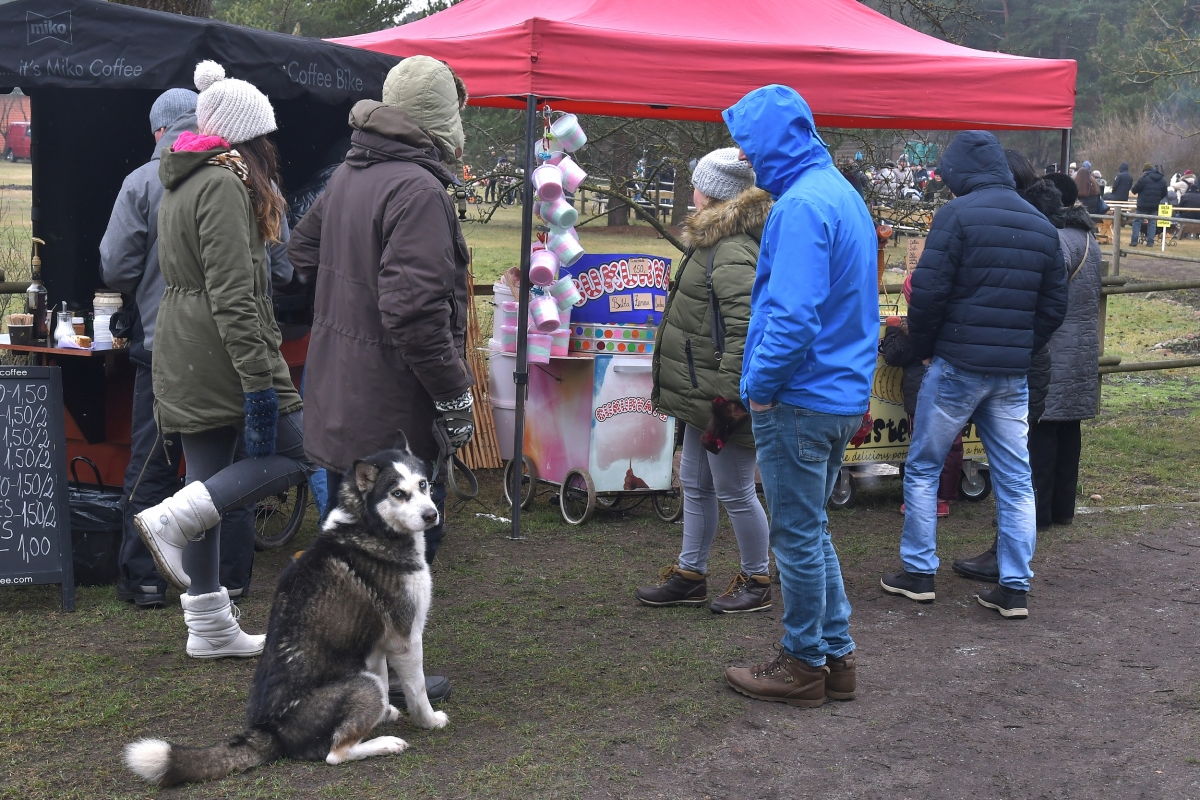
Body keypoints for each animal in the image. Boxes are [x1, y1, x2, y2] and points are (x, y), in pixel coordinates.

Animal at [125, 433, 448, 787]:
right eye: (398, 493)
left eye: (423, 485)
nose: (432, 515)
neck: (368, 526)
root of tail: (269, 731)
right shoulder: (406, 638)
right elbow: (417, 690)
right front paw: (429, 721)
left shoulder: (376, 644)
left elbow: (390, 682)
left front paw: (390, 713)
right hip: (364, 685)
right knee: (335, 753)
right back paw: (386, 743)